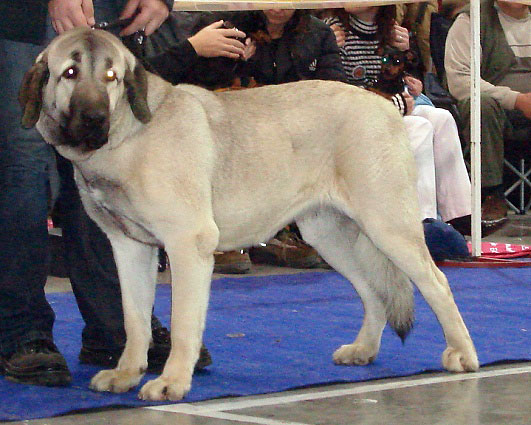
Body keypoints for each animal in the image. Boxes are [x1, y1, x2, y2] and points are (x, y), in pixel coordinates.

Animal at [19, 27, 478, 400]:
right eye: (69, 73)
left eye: (111, 77)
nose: (95, 117)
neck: (128, 134)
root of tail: (384, 105)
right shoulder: (130, 248)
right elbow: (134, 320)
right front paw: (127, 373)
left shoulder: (188, 245)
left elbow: (184, 323)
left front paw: (171, 382)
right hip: (328, 235)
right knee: (373, 291)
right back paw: (364, 349)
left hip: (388, 225)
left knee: (437, 283)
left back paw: (463, 354)